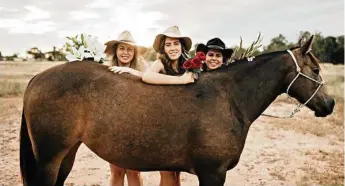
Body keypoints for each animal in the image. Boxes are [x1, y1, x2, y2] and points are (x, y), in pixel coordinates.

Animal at [18, 35, 334, 185]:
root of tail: (37, 78)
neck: (229, 97)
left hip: (66, 154)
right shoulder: (212, 173)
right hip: (49, 157)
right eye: (316, 70)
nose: (330, 104)